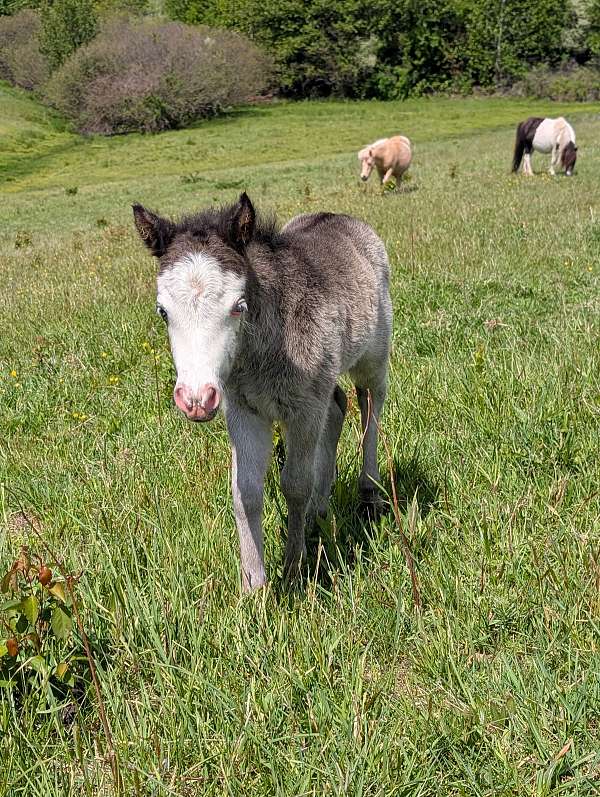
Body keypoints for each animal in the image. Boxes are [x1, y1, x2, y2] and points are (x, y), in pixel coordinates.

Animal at [133, 193, 392, 592]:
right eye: (163, 311)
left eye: (238, 307)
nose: (196, 400)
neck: (259, 355)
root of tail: (340, 217)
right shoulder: (244, 411)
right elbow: (246, 493)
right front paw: (253, 586)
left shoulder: (303, 410)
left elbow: (295, 485)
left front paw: (293, 570)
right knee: (337, 406)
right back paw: (319, 510)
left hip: (373, 356)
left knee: (370, 405)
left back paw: (369, 493)